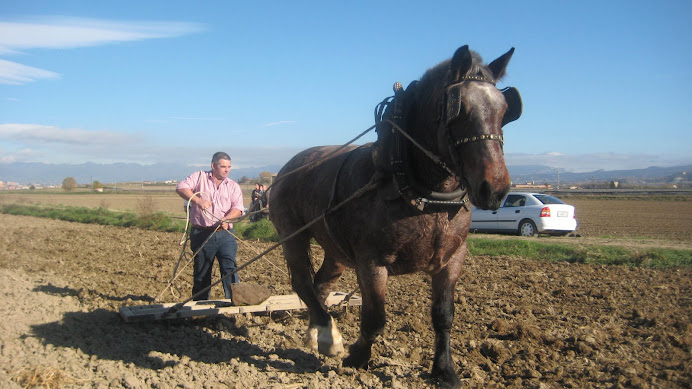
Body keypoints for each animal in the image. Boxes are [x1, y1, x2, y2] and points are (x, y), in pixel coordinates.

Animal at [268, 44, 520, 384]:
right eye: (459, 109)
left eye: (506, 110)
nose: (495, 189)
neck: (426, 196)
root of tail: (288, 166)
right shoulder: (371, 262)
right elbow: (375, 316)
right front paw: (357, 359)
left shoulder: (452, 259)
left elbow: (443, 315)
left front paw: (444, 370)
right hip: (291, 235)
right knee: (301, 282)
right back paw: (328, 334)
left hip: (335, 249)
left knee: (321, 283)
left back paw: (316, 333)